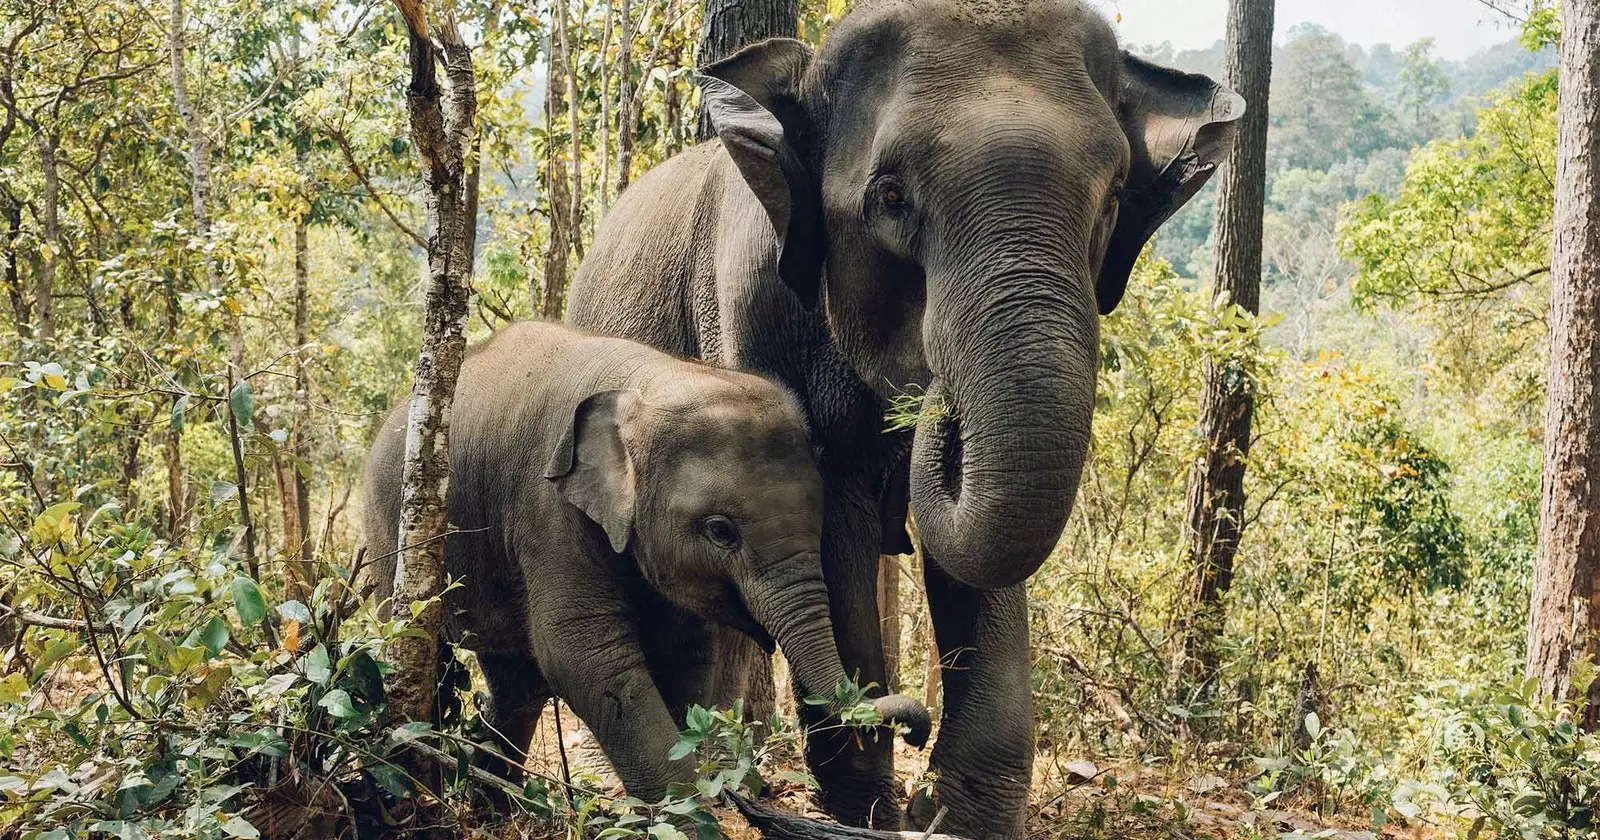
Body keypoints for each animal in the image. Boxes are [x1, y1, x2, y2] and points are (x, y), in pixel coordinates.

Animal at [361, 320, 928, 800]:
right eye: (720, 531)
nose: (916, 732)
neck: (649, 381)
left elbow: (686, 651)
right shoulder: (548, 508)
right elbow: (583, 653)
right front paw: (693, 811)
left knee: (516, 681)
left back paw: (492, 801)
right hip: (392, 529)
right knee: (424, 647)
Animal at [569, 1, 1241, 832]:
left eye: (1115, 196)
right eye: (890, 197)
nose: (931, 399)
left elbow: (979, 559)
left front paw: (954, 818)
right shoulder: (753, 313)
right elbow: (834, 523)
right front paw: (874, 810)